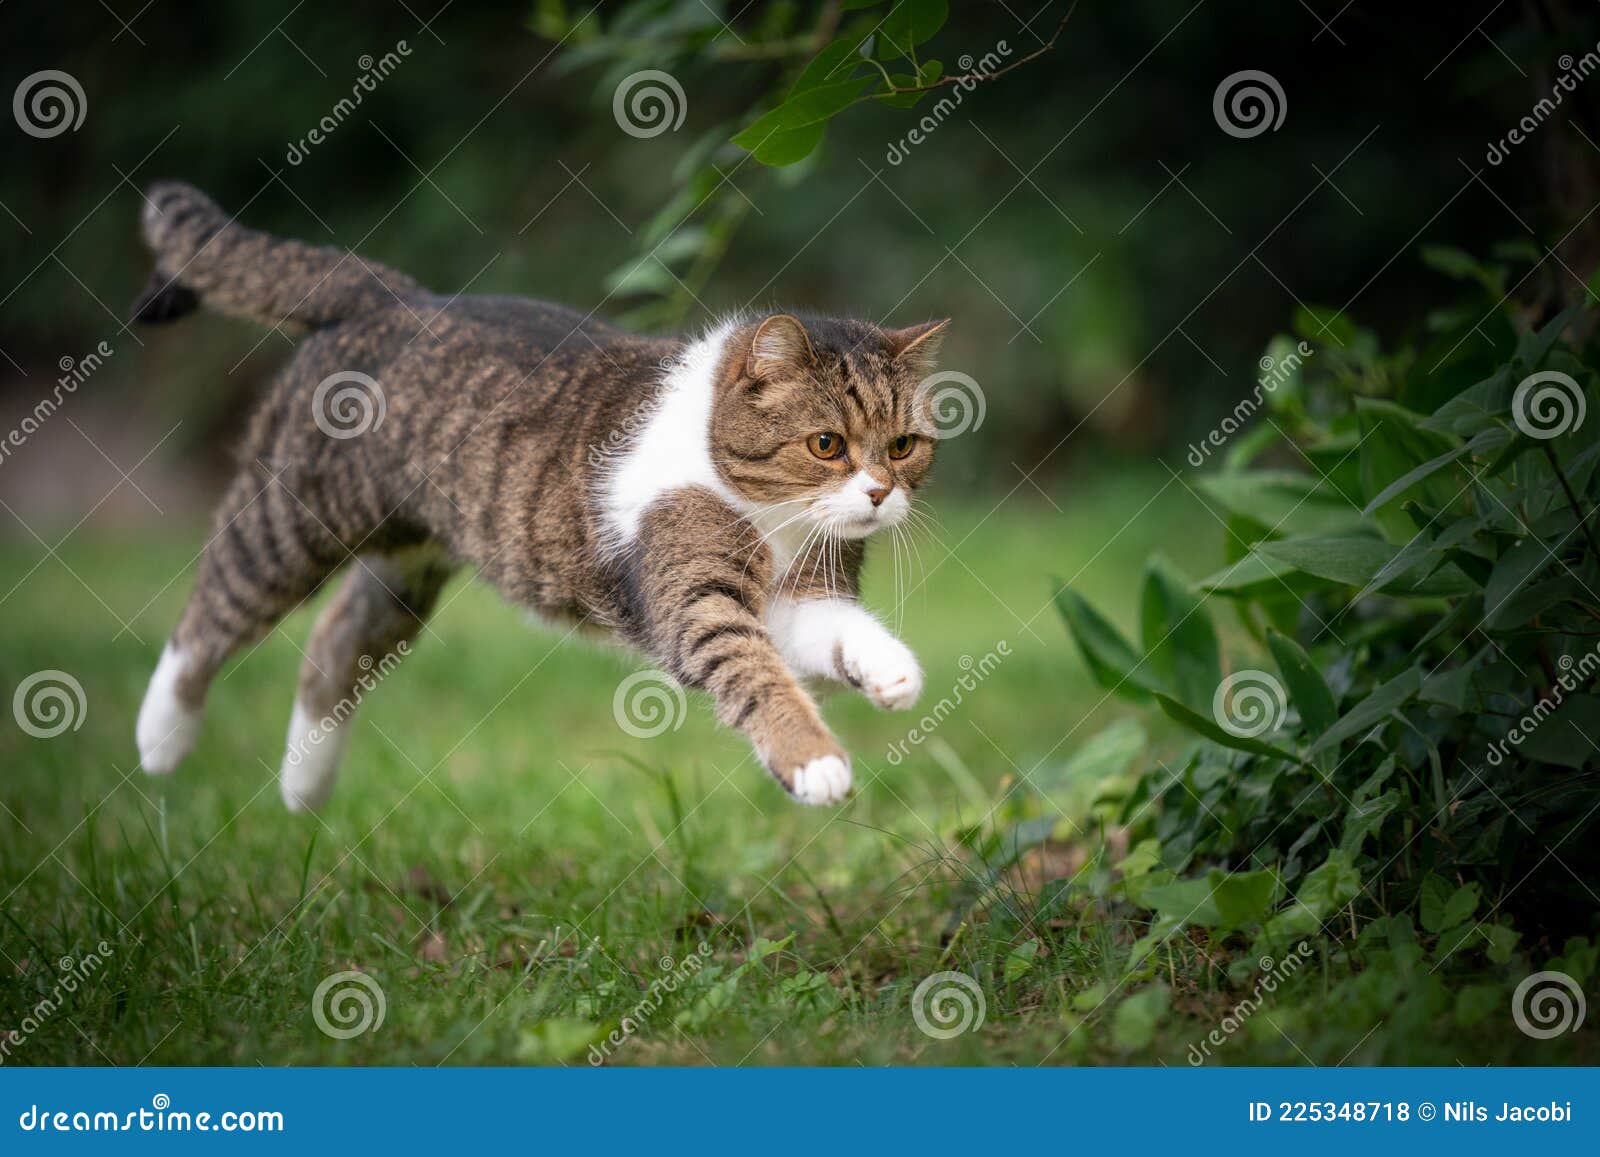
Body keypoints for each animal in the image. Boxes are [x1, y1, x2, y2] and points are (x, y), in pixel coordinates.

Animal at [131, 183, 947, 816]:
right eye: (826, 445)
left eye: (904, 446)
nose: (879, 492)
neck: (772, 520)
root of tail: (392, 294)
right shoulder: (692, 602)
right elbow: (754, 670)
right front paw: (814, 760)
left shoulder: (801, 596)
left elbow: (836, 632)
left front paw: (891, 670)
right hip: (292, 520)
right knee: (212, 607)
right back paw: (161, 739)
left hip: (411, 558)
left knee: (337, 637)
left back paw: (303, 788)